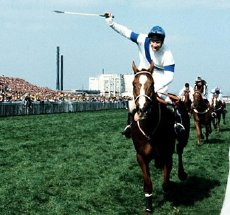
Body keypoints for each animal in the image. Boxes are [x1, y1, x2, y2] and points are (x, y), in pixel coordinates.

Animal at [129, 61, 189, 212]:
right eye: (133, 83)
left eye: (152, 84)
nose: (142, 109)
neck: (149, 128)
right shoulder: (141, 156)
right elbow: (148, 183)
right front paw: (149, 206)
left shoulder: (167, 154)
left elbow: (166, 183)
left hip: (183, 139)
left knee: (180, 151)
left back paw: (182, 173)